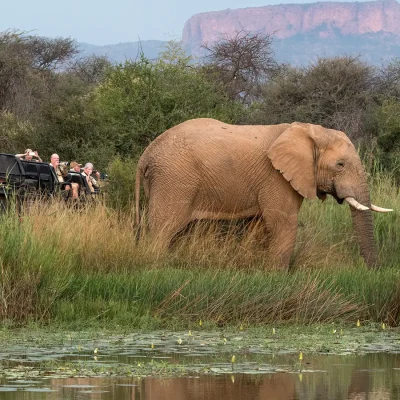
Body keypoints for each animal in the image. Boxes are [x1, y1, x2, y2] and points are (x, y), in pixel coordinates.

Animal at [136, 119, 392, 268]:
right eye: (340, 165)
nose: (374, 271)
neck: (309, 131)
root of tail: (146, 154)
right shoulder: (276, 177)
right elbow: (282, 223)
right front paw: (278, 276)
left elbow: (260, 226)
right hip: (173, 179)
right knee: (164, 229)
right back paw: (157, 265)